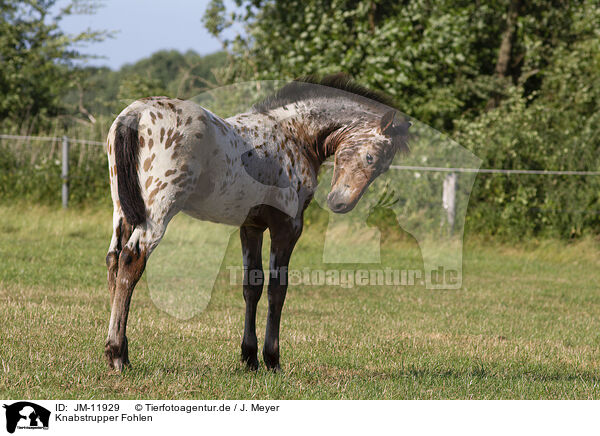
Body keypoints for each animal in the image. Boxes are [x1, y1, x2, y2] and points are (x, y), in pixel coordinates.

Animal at [105, 74, 410, 372]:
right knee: (131, 259)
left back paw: (120, 352)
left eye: (383, 167)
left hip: (123, 211)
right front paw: (272, 359)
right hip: (158, 211)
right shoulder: (287, 227)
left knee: (114, 260)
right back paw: (117, 354)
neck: (294, 134)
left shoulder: (251, 227)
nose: (340, 203)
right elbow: (277, 288)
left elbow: (252, 285)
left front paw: (249, 357)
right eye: (370, 156)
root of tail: (136, 113)